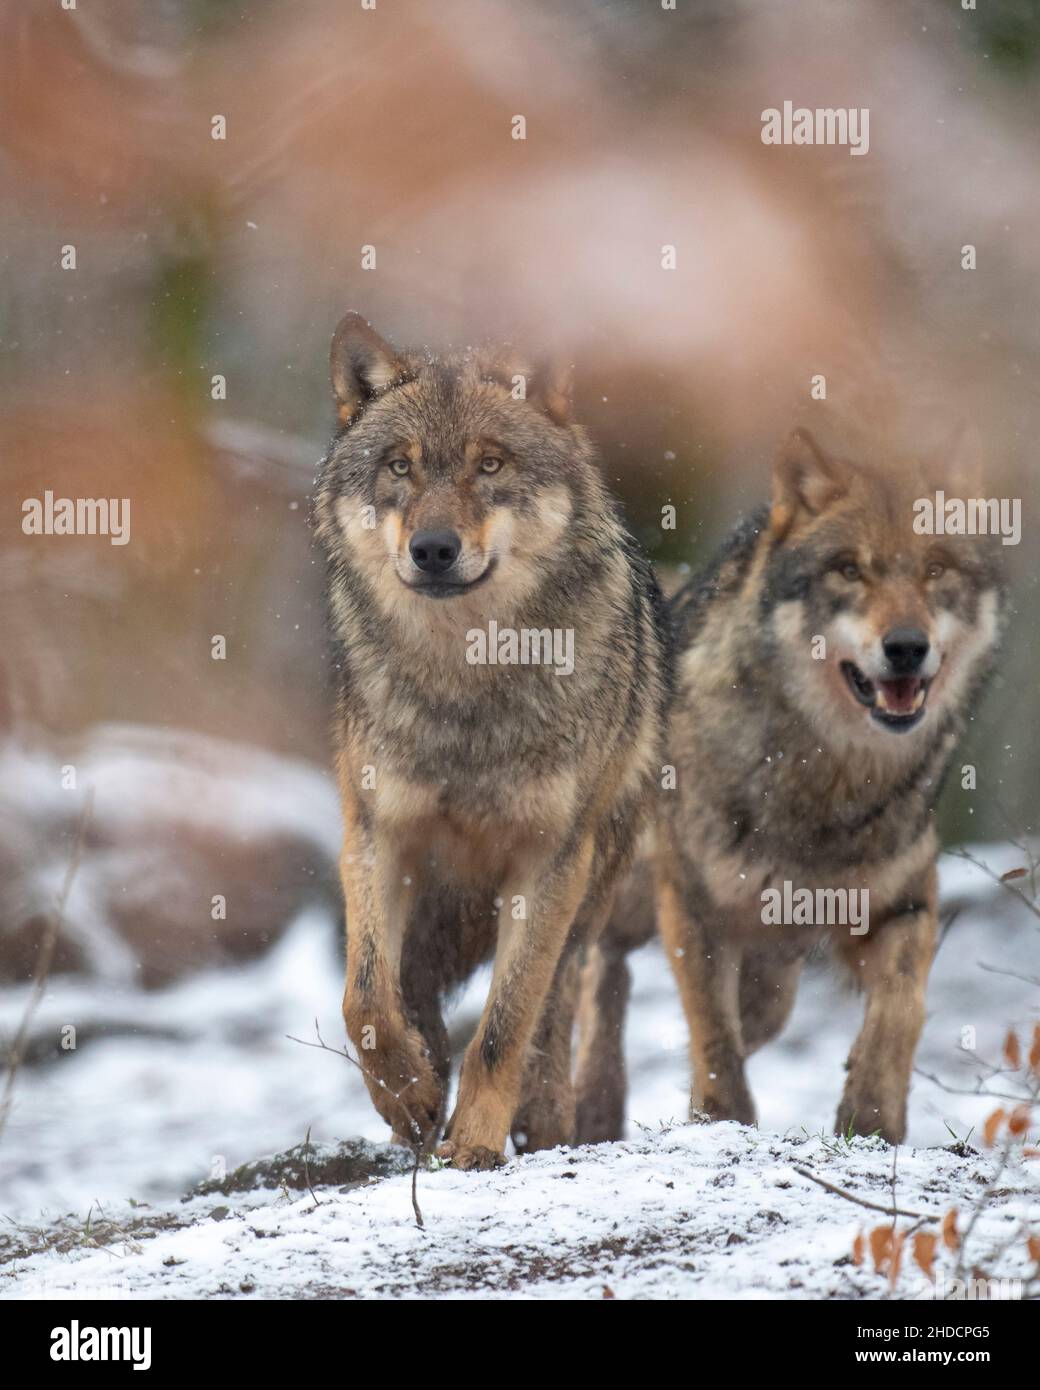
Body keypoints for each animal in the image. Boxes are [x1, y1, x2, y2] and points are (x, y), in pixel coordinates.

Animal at [311, 312, 667, 1162]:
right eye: (400, 467)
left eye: (491, 463)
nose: (434, 549)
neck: (463, 687)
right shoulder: (377, 834)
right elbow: (364, 1001)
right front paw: (408, 1095)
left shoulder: (548, 862)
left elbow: (507, 1026)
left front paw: (473, 1142)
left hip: (591, 889)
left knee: (554, 1010)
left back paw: (540, 1121)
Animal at [575, 428, 1006, 1145]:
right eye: (849, 570)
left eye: (936, 569)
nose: (907, 647)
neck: (825, 783)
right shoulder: (693, 904)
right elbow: (712, 1036)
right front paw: (721, 1120)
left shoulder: (905, 901)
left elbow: (903, 1008)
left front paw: (872, 1117)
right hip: (628, 895)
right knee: (594, 975)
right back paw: (586, 1109)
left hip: (774, 968)